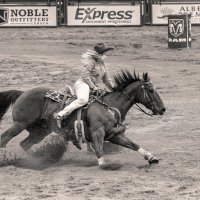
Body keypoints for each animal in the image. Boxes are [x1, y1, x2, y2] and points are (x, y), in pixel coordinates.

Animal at [0, 70, 166, 167]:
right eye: (151, 90)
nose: (163, 109)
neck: (109, 105)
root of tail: (22, 92)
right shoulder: (97, 132)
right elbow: (99, 149)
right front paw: (104, 164)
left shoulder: (114, 135)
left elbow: (133, 144)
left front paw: (151, 157)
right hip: (19, 124)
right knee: (4, 138)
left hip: (39, 131)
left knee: (25, 144)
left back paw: (37, 159)